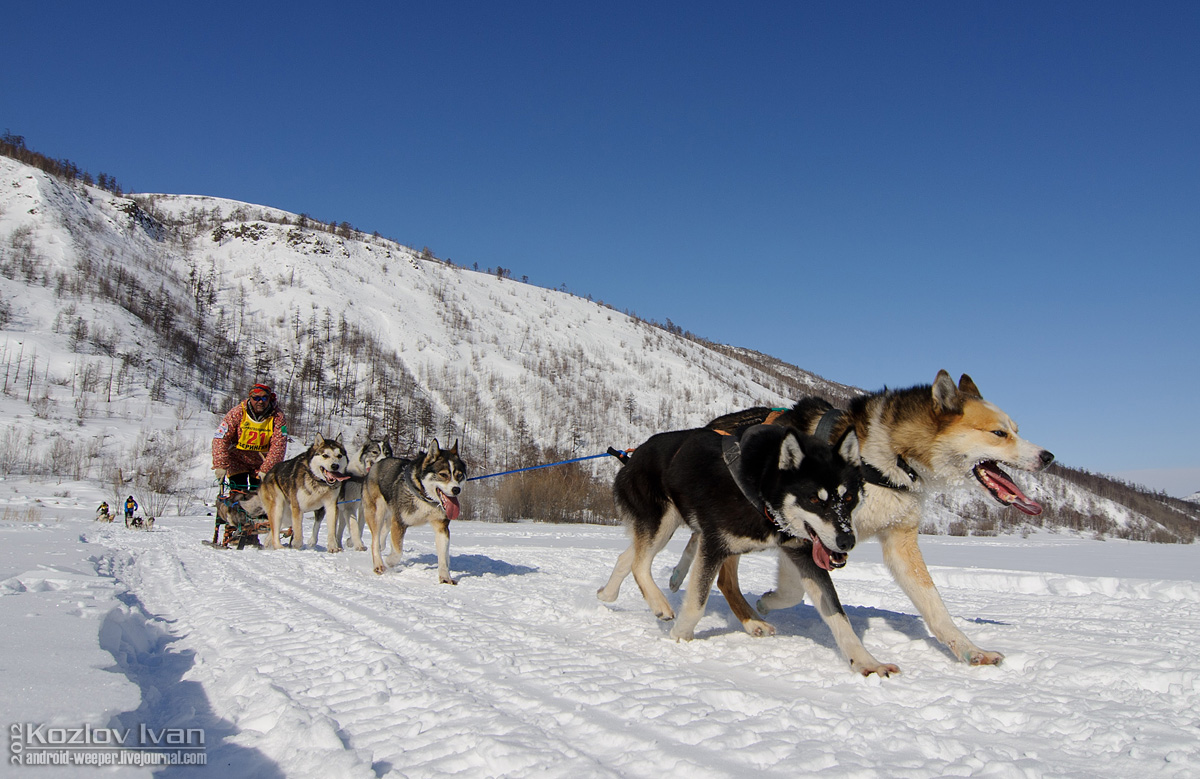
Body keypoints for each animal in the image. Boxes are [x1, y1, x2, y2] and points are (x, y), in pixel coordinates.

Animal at [360, 441, 463, 580]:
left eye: (459, 475)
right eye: (443, 474)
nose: (456, 489)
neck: (424, 497)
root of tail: (378, 463)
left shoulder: (441, 526)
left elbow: (443, 556)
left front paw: (445, 577)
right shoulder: (399, 523)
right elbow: (398, 551)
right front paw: (390, 561)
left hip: (389, 515)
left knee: (383, 533)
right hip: (377, 512)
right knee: (375, 541)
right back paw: (379, 565)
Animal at [600, 422, 902, 672]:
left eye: (848, 497)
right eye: (815, 500)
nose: (846, 541)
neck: (761, 486)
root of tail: (634, 455)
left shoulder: (801, 551)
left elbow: (835, 613)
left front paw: (866, 662)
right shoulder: (714, 543)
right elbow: (697, 603)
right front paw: (680, 636)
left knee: (629, 557)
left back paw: (607, 594)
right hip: (663, 521)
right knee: (640, 563)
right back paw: (660, 605)